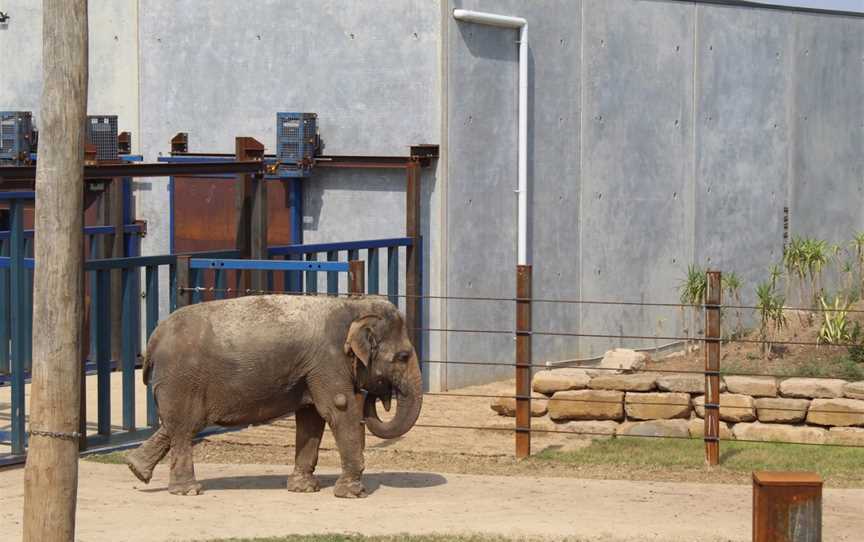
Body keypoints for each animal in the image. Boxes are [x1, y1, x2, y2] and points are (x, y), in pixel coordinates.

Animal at [126, 296, 424, 500]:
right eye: (403, 356)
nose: (379, 396)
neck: (353, 306)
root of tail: (153, 339)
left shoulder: (312, 369)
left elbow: (311, 417)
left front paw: (304, 489)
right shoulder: (329, 362)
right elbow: (340, 409)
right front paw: (353, 494)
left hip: (177, 382)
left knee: (177, 425)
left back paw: (136, 469)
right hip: (183, 379)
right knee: (185, 427)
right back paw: (188, 490)